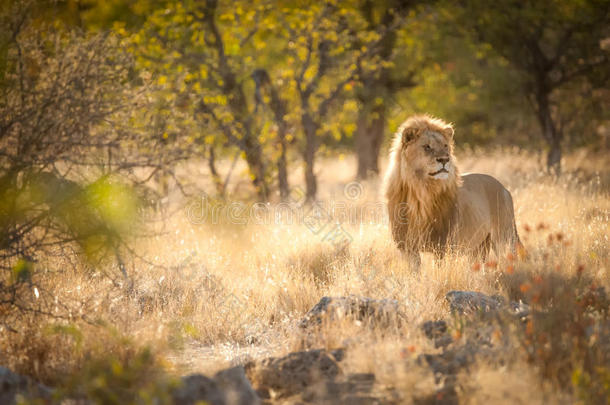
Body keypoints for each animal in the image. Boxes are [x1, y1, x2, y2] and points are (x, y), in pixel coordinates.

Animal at [380, 115, 516, 270]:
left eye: (445, 146)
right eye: (427, 146)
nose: (445, 159)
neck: (422, 192)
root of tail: (504, 187)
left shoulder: (443, 245)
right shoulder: (407, 246)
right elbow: (415, 271)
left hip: (504, 237)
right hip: (478, 246)